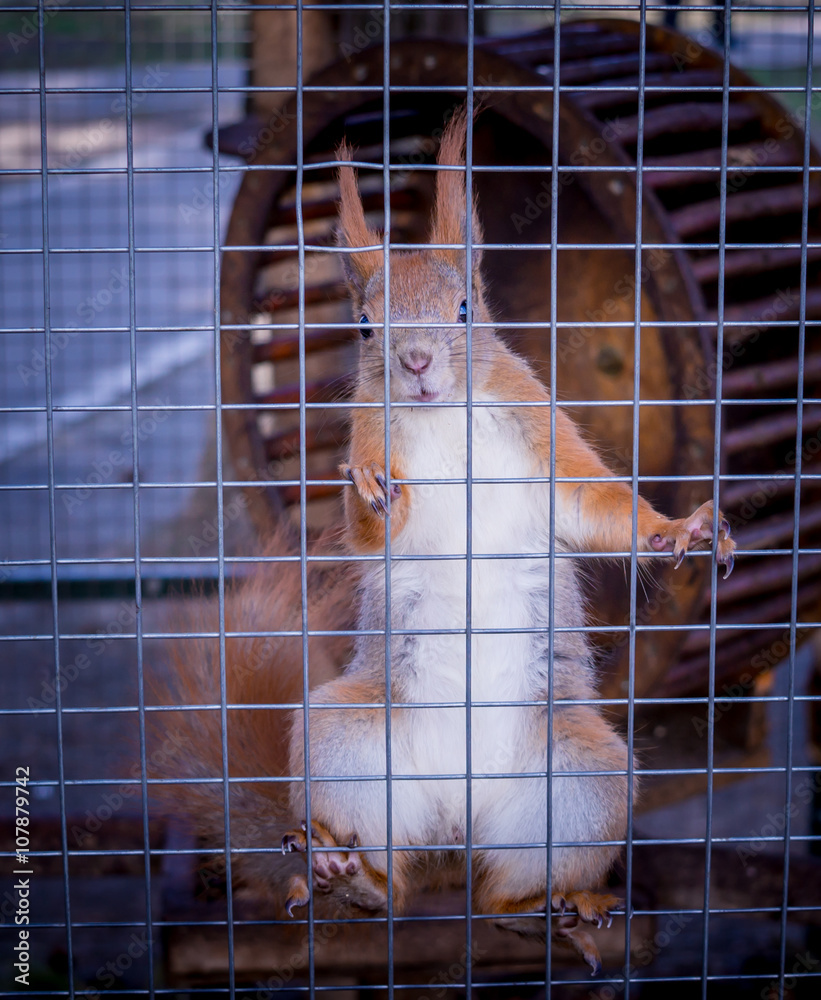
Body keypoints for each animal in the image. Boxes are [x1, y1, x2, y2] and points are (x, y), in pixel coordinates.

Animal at [152, 105, 735, 976]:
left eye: (465, 308)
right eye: (365, 326)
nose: (418, 361)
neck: (440, 417)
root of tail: (455, 824)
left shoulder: (543, 444)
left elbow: (599, 508)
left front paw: (684, 529)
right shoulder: (368, 437)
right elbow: (367, 528)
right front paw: (373, 493)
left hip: (583, 780)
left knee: (503, 893)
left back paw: (552, 909)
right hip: (344, 745)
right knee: (390, 882)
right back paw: (347, 875)